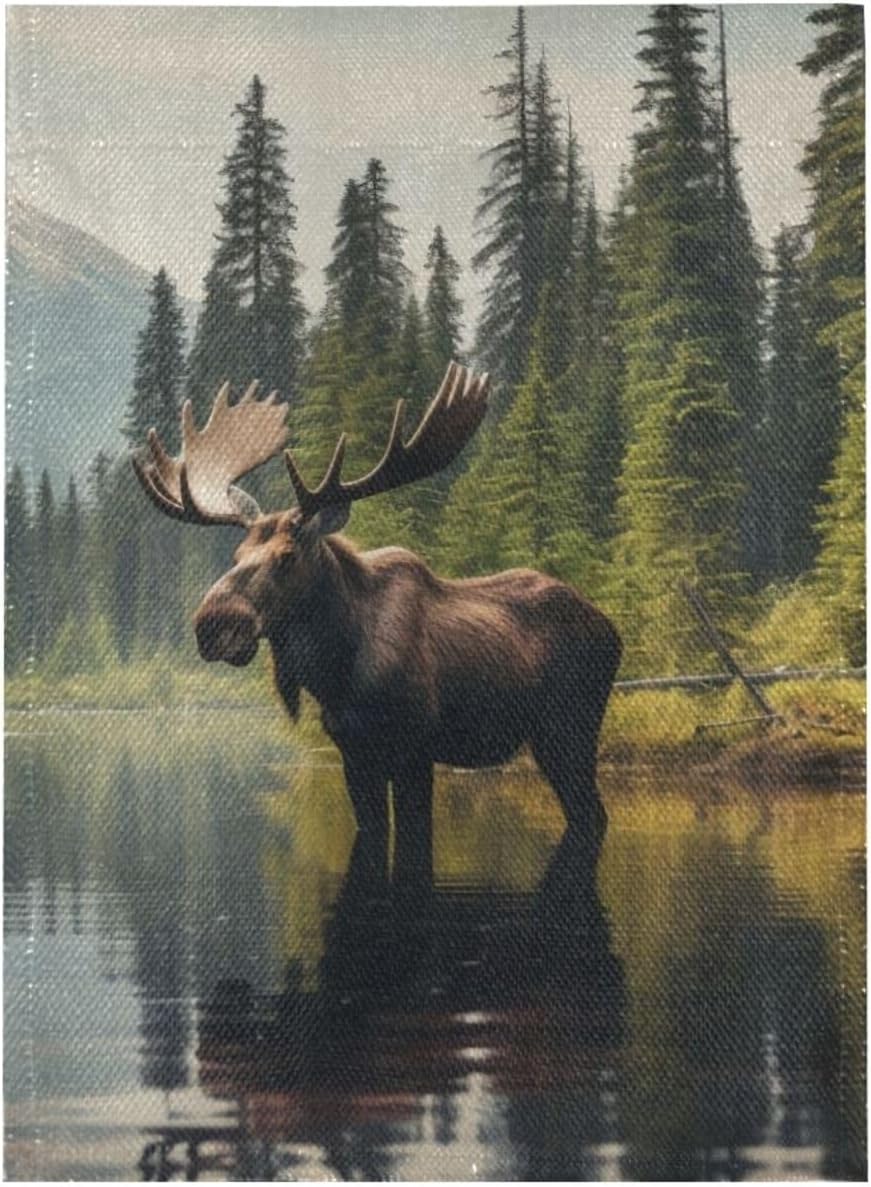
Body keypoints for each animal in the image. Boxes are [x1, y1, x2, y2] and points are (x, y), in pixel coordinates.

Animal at [133, 362, 621, 874]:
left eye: (287, 555)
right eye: (237, 554)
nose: (211, 624)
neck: (337, 671)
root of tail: (611, 629)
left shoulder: (414, 750)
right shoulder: (354, 754)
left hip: (570, 732)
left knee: (593, 813)